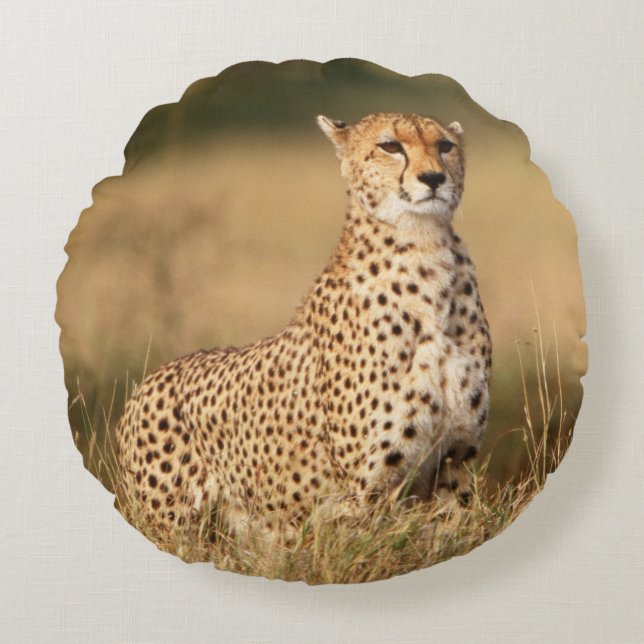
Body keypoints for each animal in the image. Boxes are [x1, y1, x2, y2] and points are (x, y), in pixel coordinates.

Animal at [114, 111, 492, 550]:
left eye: (445, 146)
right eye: (390, 146)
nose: (433, 178)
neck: (425, 250)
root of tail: (149, 378)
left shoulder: (455, 463)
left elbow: (454, 532)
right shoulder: (365, 493)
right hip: (174, 528)